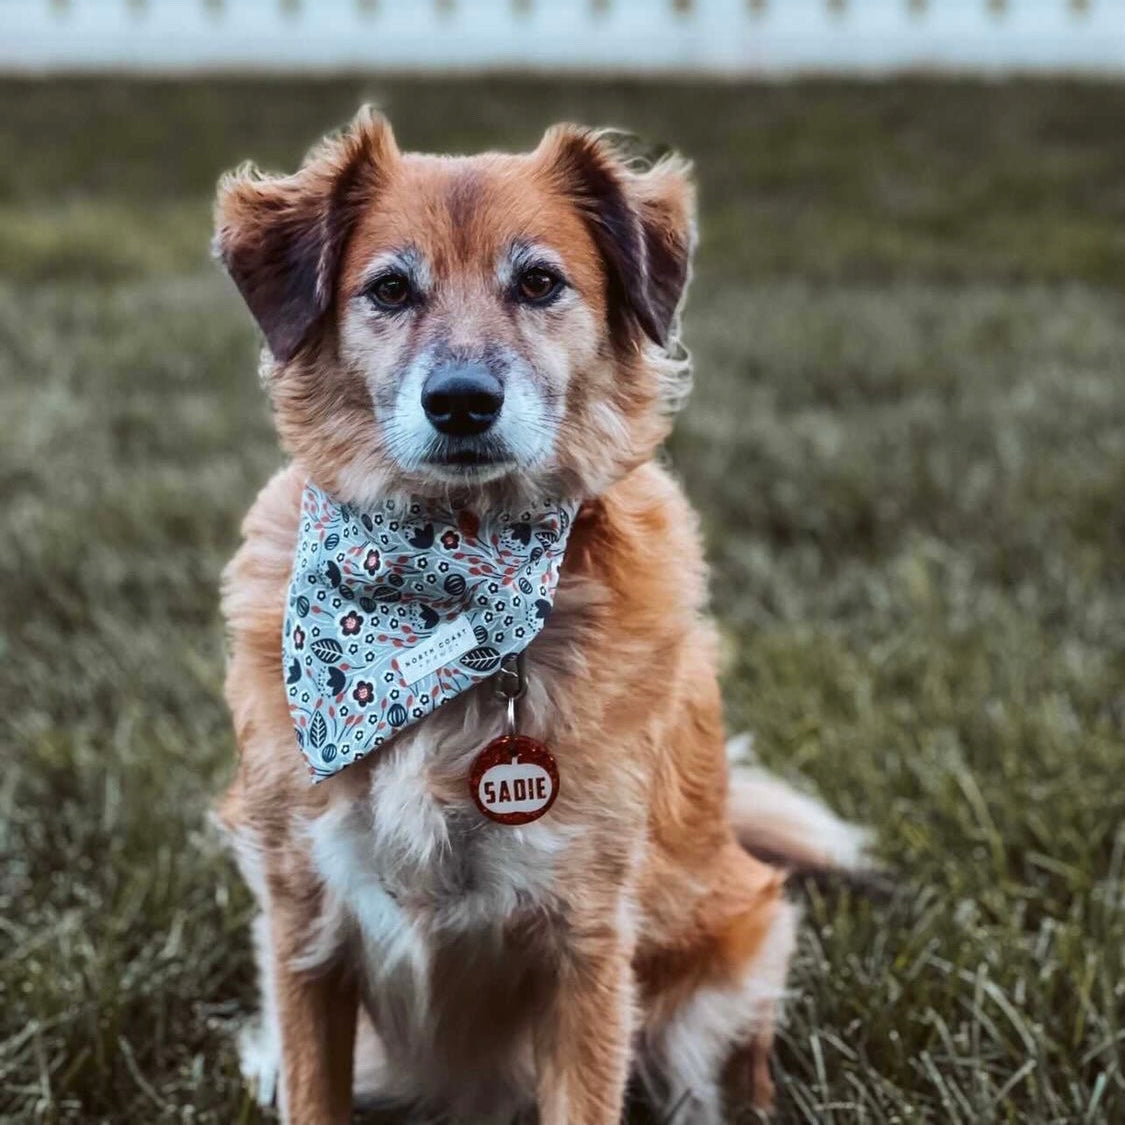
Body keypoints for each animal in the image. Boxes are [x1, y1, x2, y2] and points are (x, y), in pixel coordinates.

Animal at [211, 107, 864, 1125]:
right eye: (389, 288)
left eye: (539, 282)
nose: (462, 402)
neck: (436, 588)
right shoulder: (302, 922)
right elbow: (313, 1085)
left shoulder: (584, 939)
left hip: (713, 997)